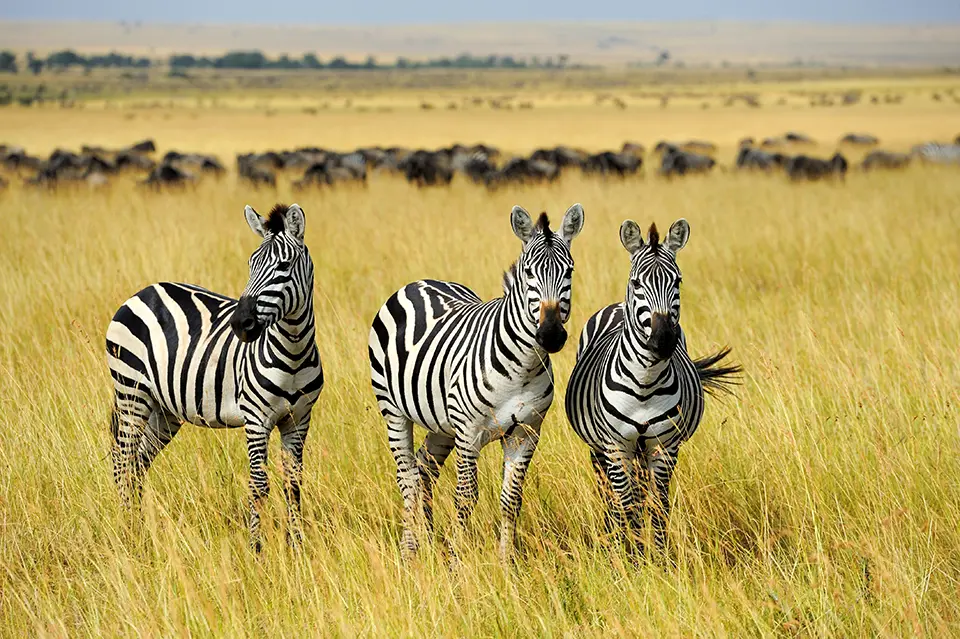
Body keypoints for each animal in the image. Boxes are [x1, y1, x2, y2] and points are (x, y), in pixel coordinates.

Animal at [105, 203, 324, 551]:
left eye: (284, 265)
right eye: (250, 264)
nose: (241, 324)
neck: (293, 352)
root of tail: (142, 292)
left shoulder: (299, 420)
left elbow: (293, 485)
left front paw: (296, 547)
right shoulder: (256, 420)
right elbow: (258, 485)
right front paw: (257, 550)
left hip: (164, 410)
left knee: (138, 463)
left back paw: (138, 530)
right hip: (131, 393)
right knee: (123, 460)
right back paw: (127, 533)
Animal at [368, 203, 584, 561]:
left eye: (569, 271)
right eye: (528, 273)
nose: (551, 334)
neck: (522, 368)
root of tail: (420, 281)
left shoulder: (525, 434)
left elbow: (511, 501)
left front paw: (505, 563)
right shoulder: (468, 433)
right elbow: (466, 497)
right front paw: (457, 563)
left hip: (442, 423)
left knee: (424, 469)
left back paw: (427, 543)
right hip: (394, 410)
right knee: (408, 478)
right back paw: (409, 552)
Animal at [564, 219, 740, 555]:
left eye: (678, 281)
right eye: (637, 282)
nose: (663, 340)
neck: (645, 383)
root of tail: (617, 306)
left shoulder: (664, 446)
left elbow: (658, 507)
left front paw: (659, 558)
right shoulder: (616, 446)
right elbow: (627, 506)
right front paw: (632, 557)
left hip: (644, 450)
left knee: (641, 491)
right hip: (601, 449)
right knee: (611, 495)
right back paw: (612, 539)